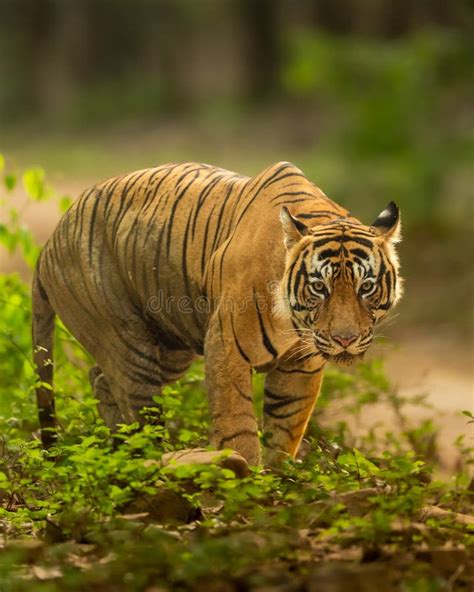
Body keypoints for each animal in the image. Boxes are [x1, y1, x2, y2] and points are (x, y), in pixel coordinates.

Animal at [31, 162, 402, 468]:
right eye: (319, 287)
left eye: (366, 287)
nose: (345, 339)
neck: (294, 325)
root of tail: (51, 240)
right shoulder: (226, 346)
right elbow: (237, 423)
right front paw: (248, 479)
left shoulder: (301, 363)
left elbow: (286, 426)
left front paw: (280, 478)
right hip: (131, 346)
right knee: (137, 406)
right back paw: (144, 459)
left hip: (171, 348)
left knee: (100, 377)